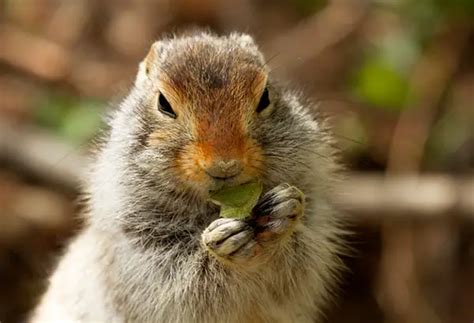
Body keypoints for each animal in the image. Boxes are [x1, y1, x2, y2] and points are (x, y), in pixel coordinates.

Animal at [32, 31, 344, 323]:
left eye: (265, 96)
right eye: (164, 103)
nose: (224, 165)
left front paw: (283, 211)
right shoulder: (142, 252)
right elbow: (184, 285)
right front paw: (222, 243)